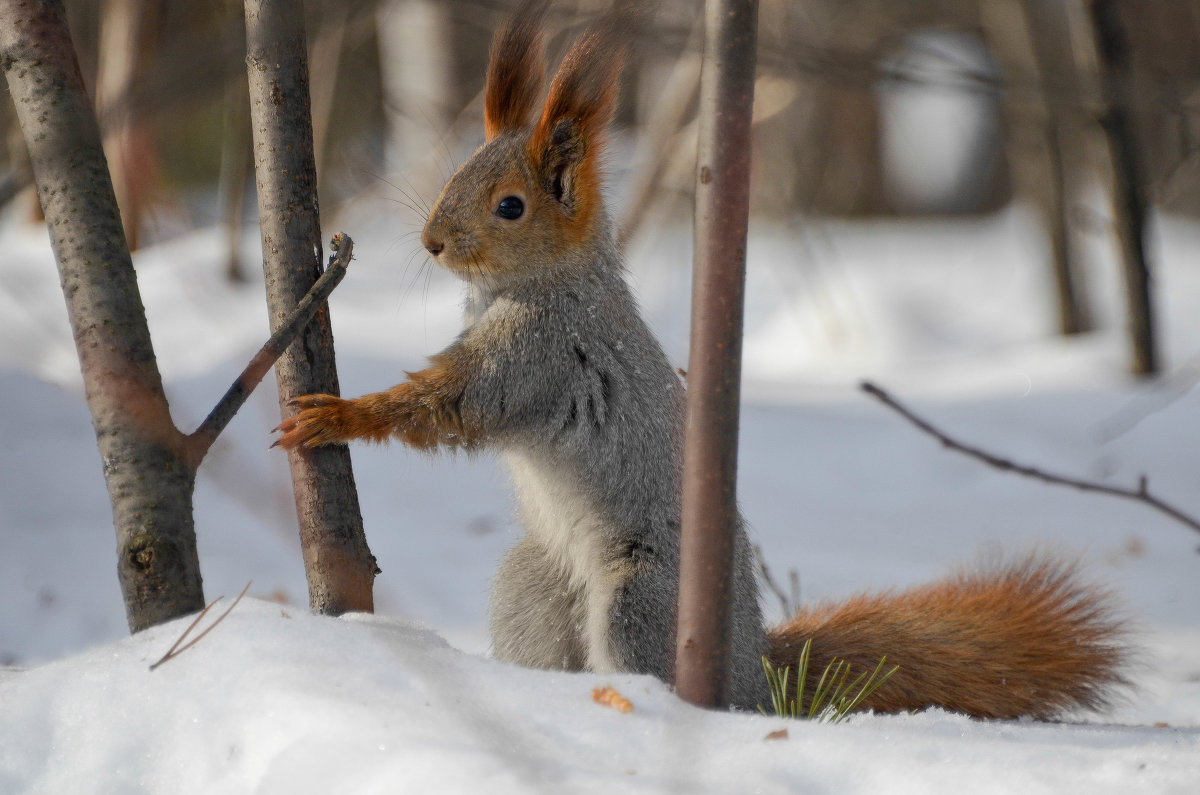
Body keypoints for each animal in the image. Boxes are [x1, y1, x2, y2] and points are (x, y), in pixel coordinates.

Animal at [276, 0, 1128, 720]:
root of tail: (754, 671)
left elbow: (450, 403)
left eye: (510, 206)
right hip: (533, 583)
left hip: (645, 595)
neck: (544, 285)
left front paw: (334, 414)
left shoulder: (538, 358)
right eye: (457, 172)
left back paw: (636, 706)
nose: (432, 243)